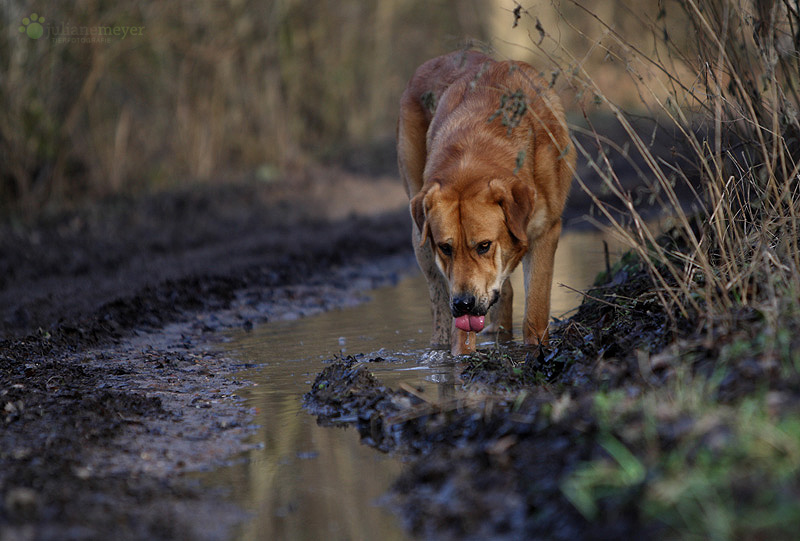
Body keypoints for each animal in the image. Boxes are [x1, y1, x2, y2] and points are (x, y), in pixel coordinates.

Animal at [398, 50, 576, 354]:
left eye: (484, 246)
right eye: (446, 248)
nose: (463, 304)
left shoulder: (546, 232)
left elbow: (535, 312)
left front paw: (535, 350)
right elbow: (460, 334)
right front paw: (461, 359)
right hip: (419, 239)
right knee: (439, 305)